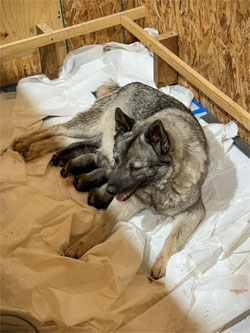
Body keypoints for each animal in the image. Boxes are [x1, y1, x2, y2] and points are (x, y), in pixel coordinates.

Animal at [13, 81, 209, 278]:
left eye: (136, 168)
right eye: (117, 160)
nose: (109, 190)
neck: (160, 186)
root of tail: (128, 85)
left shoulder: (194, 212)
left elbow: (173, 239)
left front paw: (160, 264)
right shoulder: (126, 203)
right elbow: (103, 225)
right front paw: (82, 244)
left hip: (97, 137)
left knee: (62, 139)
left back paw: (33, 148)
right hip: (88, 127)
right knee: (56, 128)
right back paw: (26, 142)